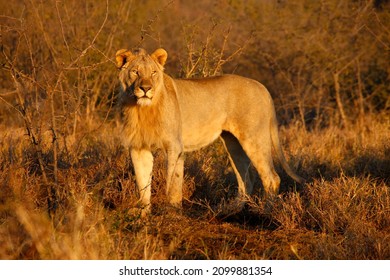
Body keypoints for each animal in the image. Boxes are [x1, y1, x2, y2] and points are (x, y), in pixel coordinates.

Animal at [116, 47, 304, 217]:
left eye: (153, 72)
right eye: (135, 72)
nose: (146, 88)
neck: (142, 110)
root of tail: (261, 86)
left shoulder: (174, 146)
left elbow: (171, 182)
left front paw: (170, 212)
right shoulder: (138, 147)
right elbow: (143, 183)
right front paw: (143, 213)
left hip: (254, 138)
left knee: (271, 177)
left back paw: (265, 212)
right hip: (233, 144)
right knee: (246, 179)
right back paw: (230, 209)